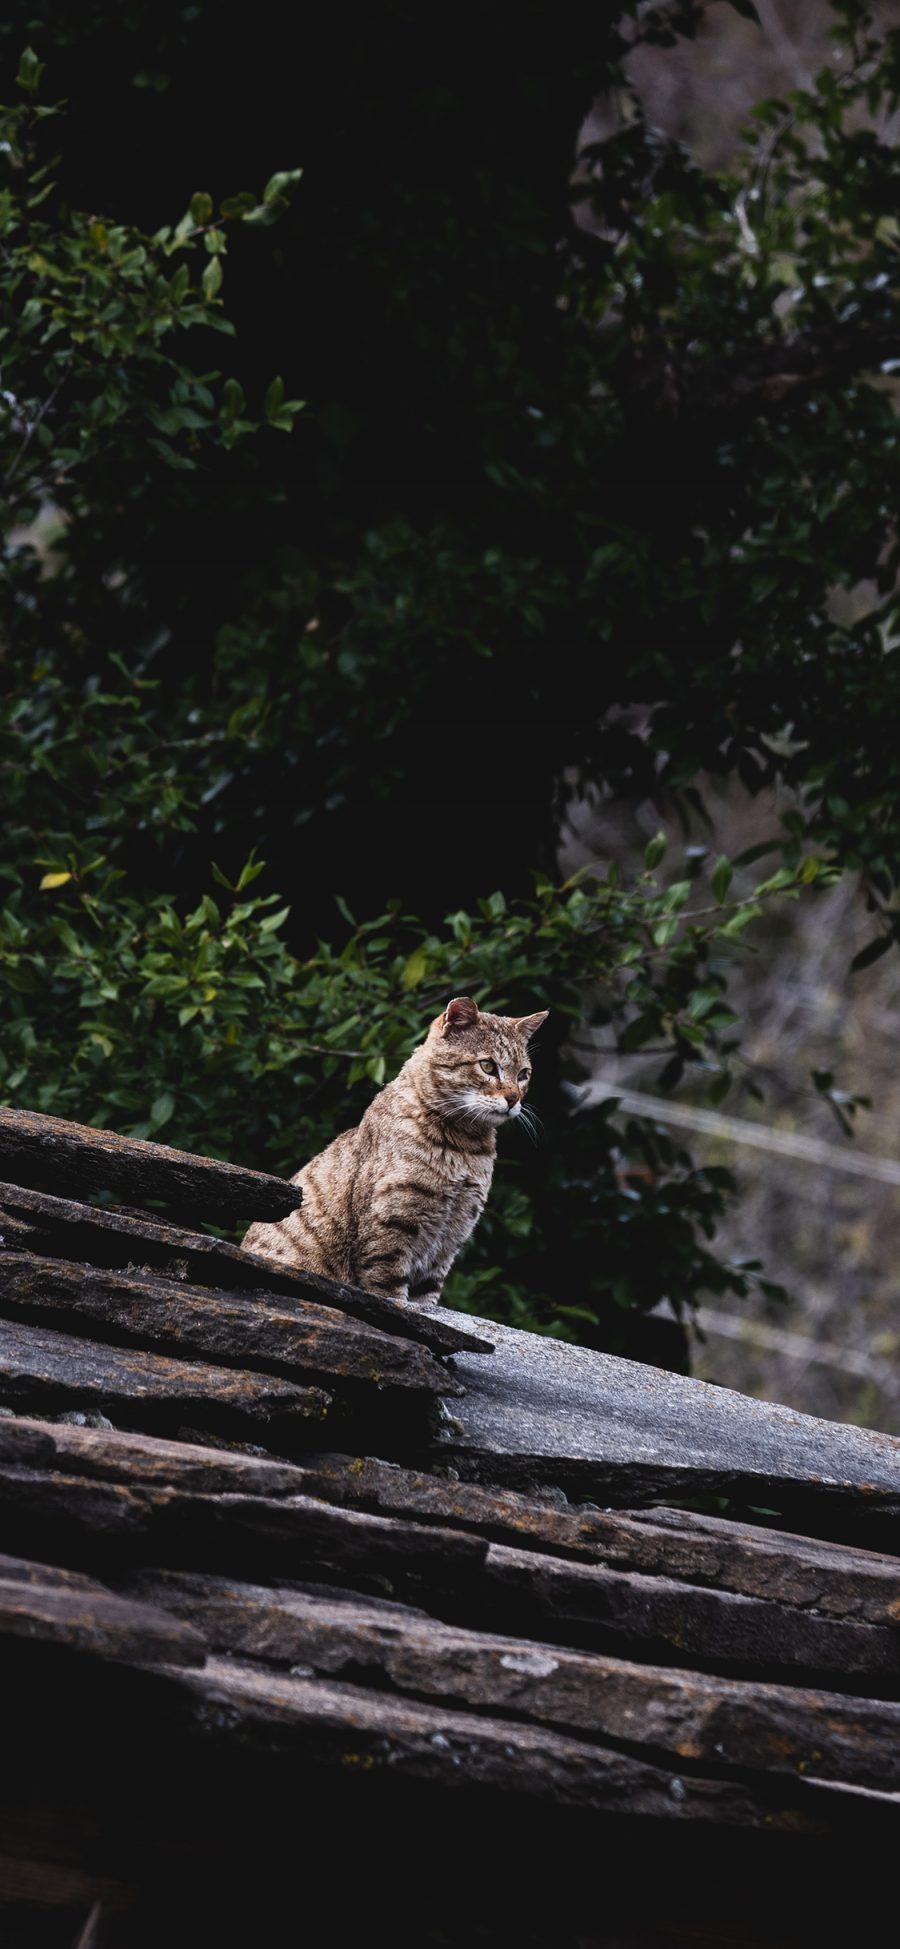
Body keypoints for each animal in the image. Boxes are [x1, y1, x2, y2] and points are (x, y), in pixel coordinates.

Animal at [240, 997, 549, 1301]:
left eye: (524, 1074)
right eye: (487, 1066)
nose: (514, 1098)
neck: (464, 1148)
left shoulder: (445, 1247)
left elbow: (424, 1302)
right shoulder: (389, 1235)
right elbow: (392, 1295)